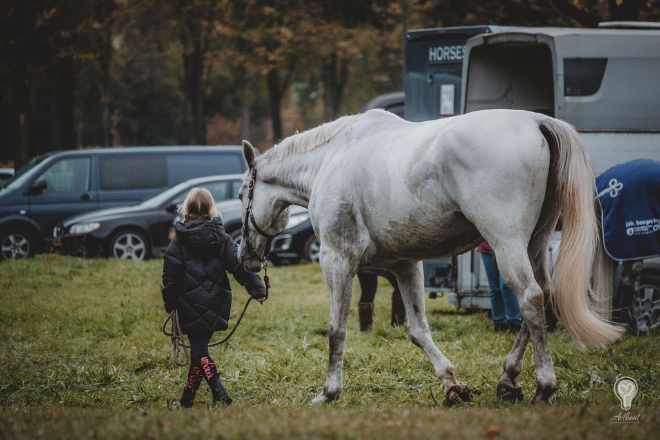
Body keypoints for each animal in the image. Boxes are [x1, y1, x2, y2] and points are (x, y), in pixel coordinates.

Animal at [237, 109, 624, 406]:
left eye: (242, 193)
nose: (245, 256)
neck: (330, 161)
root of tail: (537, 121)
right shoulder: (405, 265)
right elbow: (418, 330)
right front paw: (452, 385)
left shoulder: (337, 261)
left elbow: (336, 329)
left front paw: (329, 392)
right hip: (536, 243)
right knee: (543, 295)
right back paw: (508, 379)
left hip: (506, 244)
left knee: (530, 298)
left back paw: (543, 387)